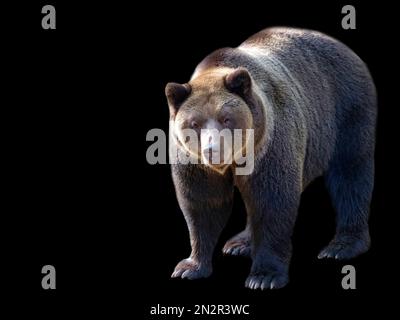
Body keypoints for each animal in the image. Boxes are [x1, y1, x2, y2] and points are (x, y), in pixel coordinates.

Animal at [165, 27, 376, 288]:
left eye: (226, 118)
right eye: (194, 123)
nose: (212, 149)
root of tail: (345, 49)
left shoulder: (270, 144)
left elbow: (272, 202)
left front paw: (264, 277)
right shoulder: (195, 165)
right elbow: (204, 204)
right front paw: (190, 267)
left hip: (347, 110)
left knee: (350, 174)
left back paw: (341, 246)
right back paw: (240, 243)